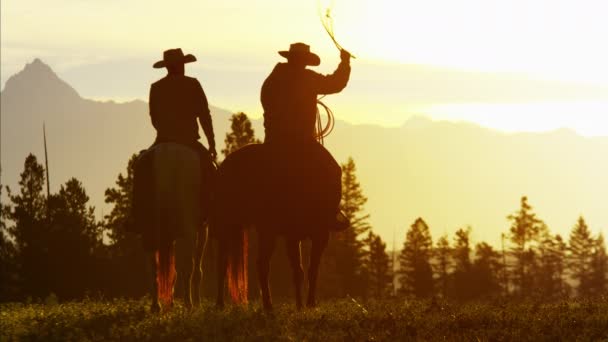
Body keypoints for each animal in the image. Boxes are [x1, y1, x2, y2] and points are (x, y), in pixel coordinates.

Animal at [132, 142, 213, 310]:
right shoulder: (202, 229)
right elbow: (196, 269)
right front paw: (198, 303)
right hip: (189, 228)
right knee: (188, 267)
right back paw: (189, 304)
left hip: (149, 231)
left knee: (154, 268)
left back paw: (156, 306)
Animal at [211, 142, 340, 310]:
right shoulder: (311, 234)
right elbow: (307, 269)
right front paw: (307, 304)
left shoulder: (304, 236)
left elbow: (303, 270)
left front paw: (302, 305)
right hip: (256, 229)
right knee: (256, 264)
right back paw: (265, 305)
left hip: (237, 227)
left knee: (227, 262)